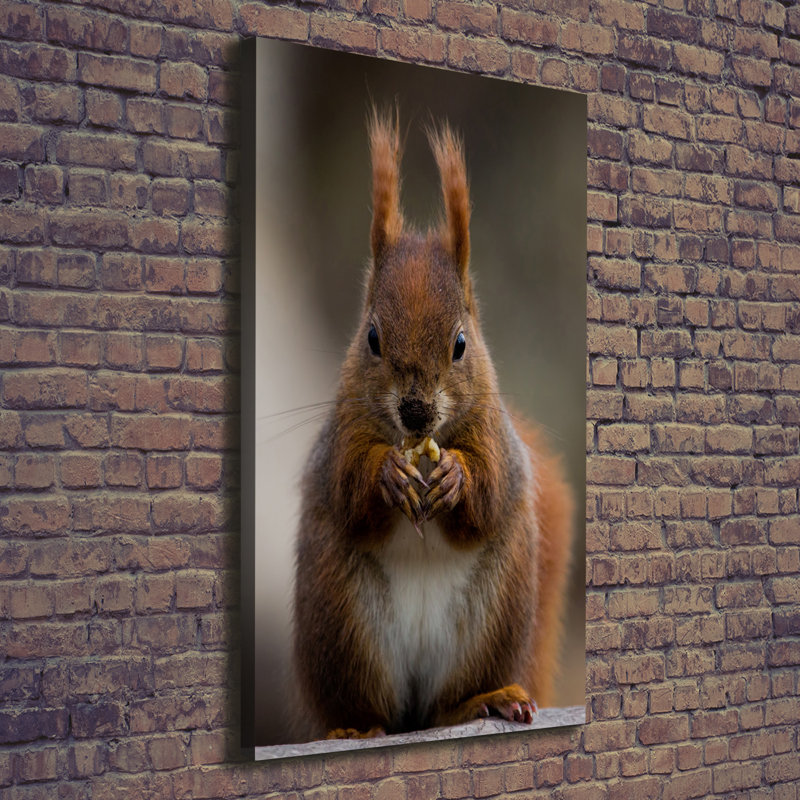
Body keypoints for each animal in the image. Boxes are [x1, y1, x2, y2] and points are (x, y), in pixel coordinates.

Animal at [291, 109, 573, 741]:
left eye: (461, 343)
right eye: (371, 338)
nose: (416, 411)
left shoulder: (495, 436)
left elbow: (489, 489)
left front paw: (456, 479)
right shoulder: (340, 434)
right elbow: (348, 485)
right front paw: (387, 474)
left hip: (494, 613)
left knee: (448, 702)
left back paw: (483, 702)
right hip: (342, 619)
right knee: (373, 708)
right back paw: (356, 729)